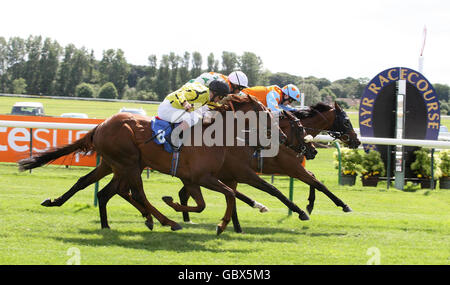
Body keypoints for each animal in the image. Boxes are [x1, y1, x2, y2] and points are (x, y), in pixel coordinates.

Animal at [178, 101, 360, 232]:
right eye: (346, 121)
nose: (357, 141)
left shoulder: (291, 167)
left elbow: (313, 178)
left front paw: (310, 205)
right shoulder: (292, 168)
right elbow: (318, 184)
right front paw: (343, 205)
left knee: (189, 192)